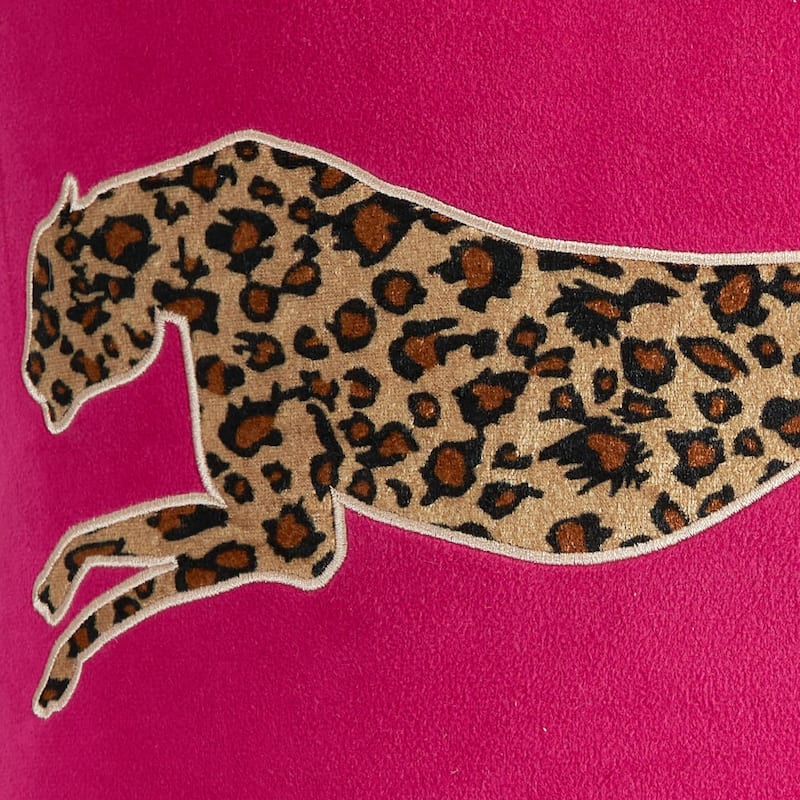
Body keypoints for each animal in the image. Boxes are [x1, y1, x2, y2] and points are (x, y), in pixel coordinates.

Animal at [23, 130, 800, 717]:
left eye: (47, 297)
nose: (31, 378)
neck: (202, 244)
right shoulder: (270, 520)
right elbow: (127, 535)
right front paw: (54, 592)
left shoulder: (292, 536)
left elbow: (144, 577)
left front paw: (59, 665)